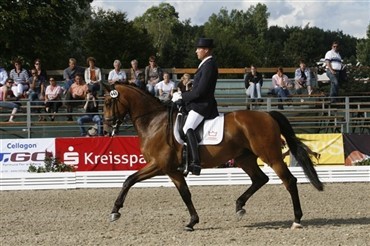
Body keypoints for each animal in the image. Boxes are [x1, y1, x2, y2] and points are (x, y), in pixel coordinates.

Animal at [102, 82, 322, 231]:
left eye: (107, 101)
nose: (106, 126)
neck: (154, 121)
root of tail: (267, 115)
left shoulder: (162, 166)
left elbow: (130, 180)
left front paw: (115, 211)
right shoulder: (171, 170)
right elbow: (183, 193)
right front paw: (192, 221)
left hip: (271, 156)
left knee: (289, 181)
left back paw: (297, 219)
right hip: (244, 158)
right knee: (260, 178)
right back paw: (239, 206)